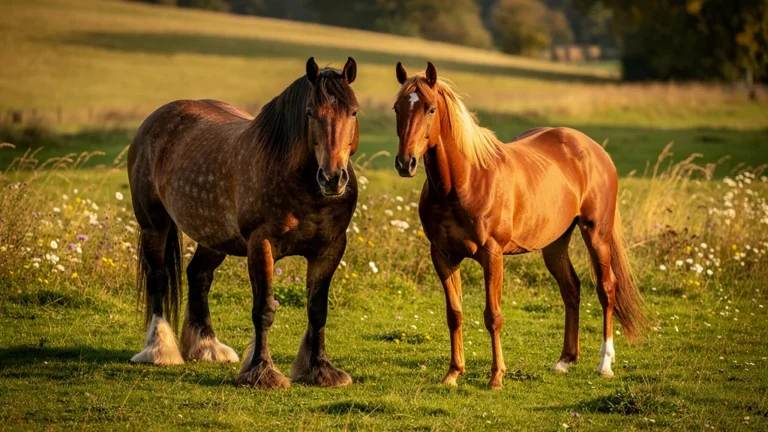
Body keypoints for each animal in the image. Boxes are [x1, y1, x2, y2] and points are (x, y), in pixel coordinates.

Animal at [127, 57, 360, 389]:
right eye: (310, 113)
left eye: (353, 112)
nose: (332, 178)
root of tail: (154, 120)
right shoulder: (260, 244)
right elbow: (263, 310)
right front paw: (261, 372)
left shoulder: (330, 248)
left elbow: (317, 310)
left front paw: (320, 369)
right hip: (153, 225)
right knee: (158, 278)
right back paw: (160, 349)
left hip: (214, 236)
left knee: (198, 276)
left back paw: (208, 346)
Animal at [391, 62, 647, 389]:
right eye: (398, 108)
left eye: (431, 109)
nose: (405, 163)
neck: (464, 181)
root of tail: (593, 150)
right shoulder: (442, 255)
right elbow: (454, 313)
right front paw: (453, 373)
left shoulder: (492, 254)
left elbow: (493, 315)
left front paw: (496, 377)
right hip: (555, 244)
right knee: (571, 289)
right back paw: (565, 360)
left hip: (596, 235)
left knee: (606, 289)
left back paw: (605, 363)